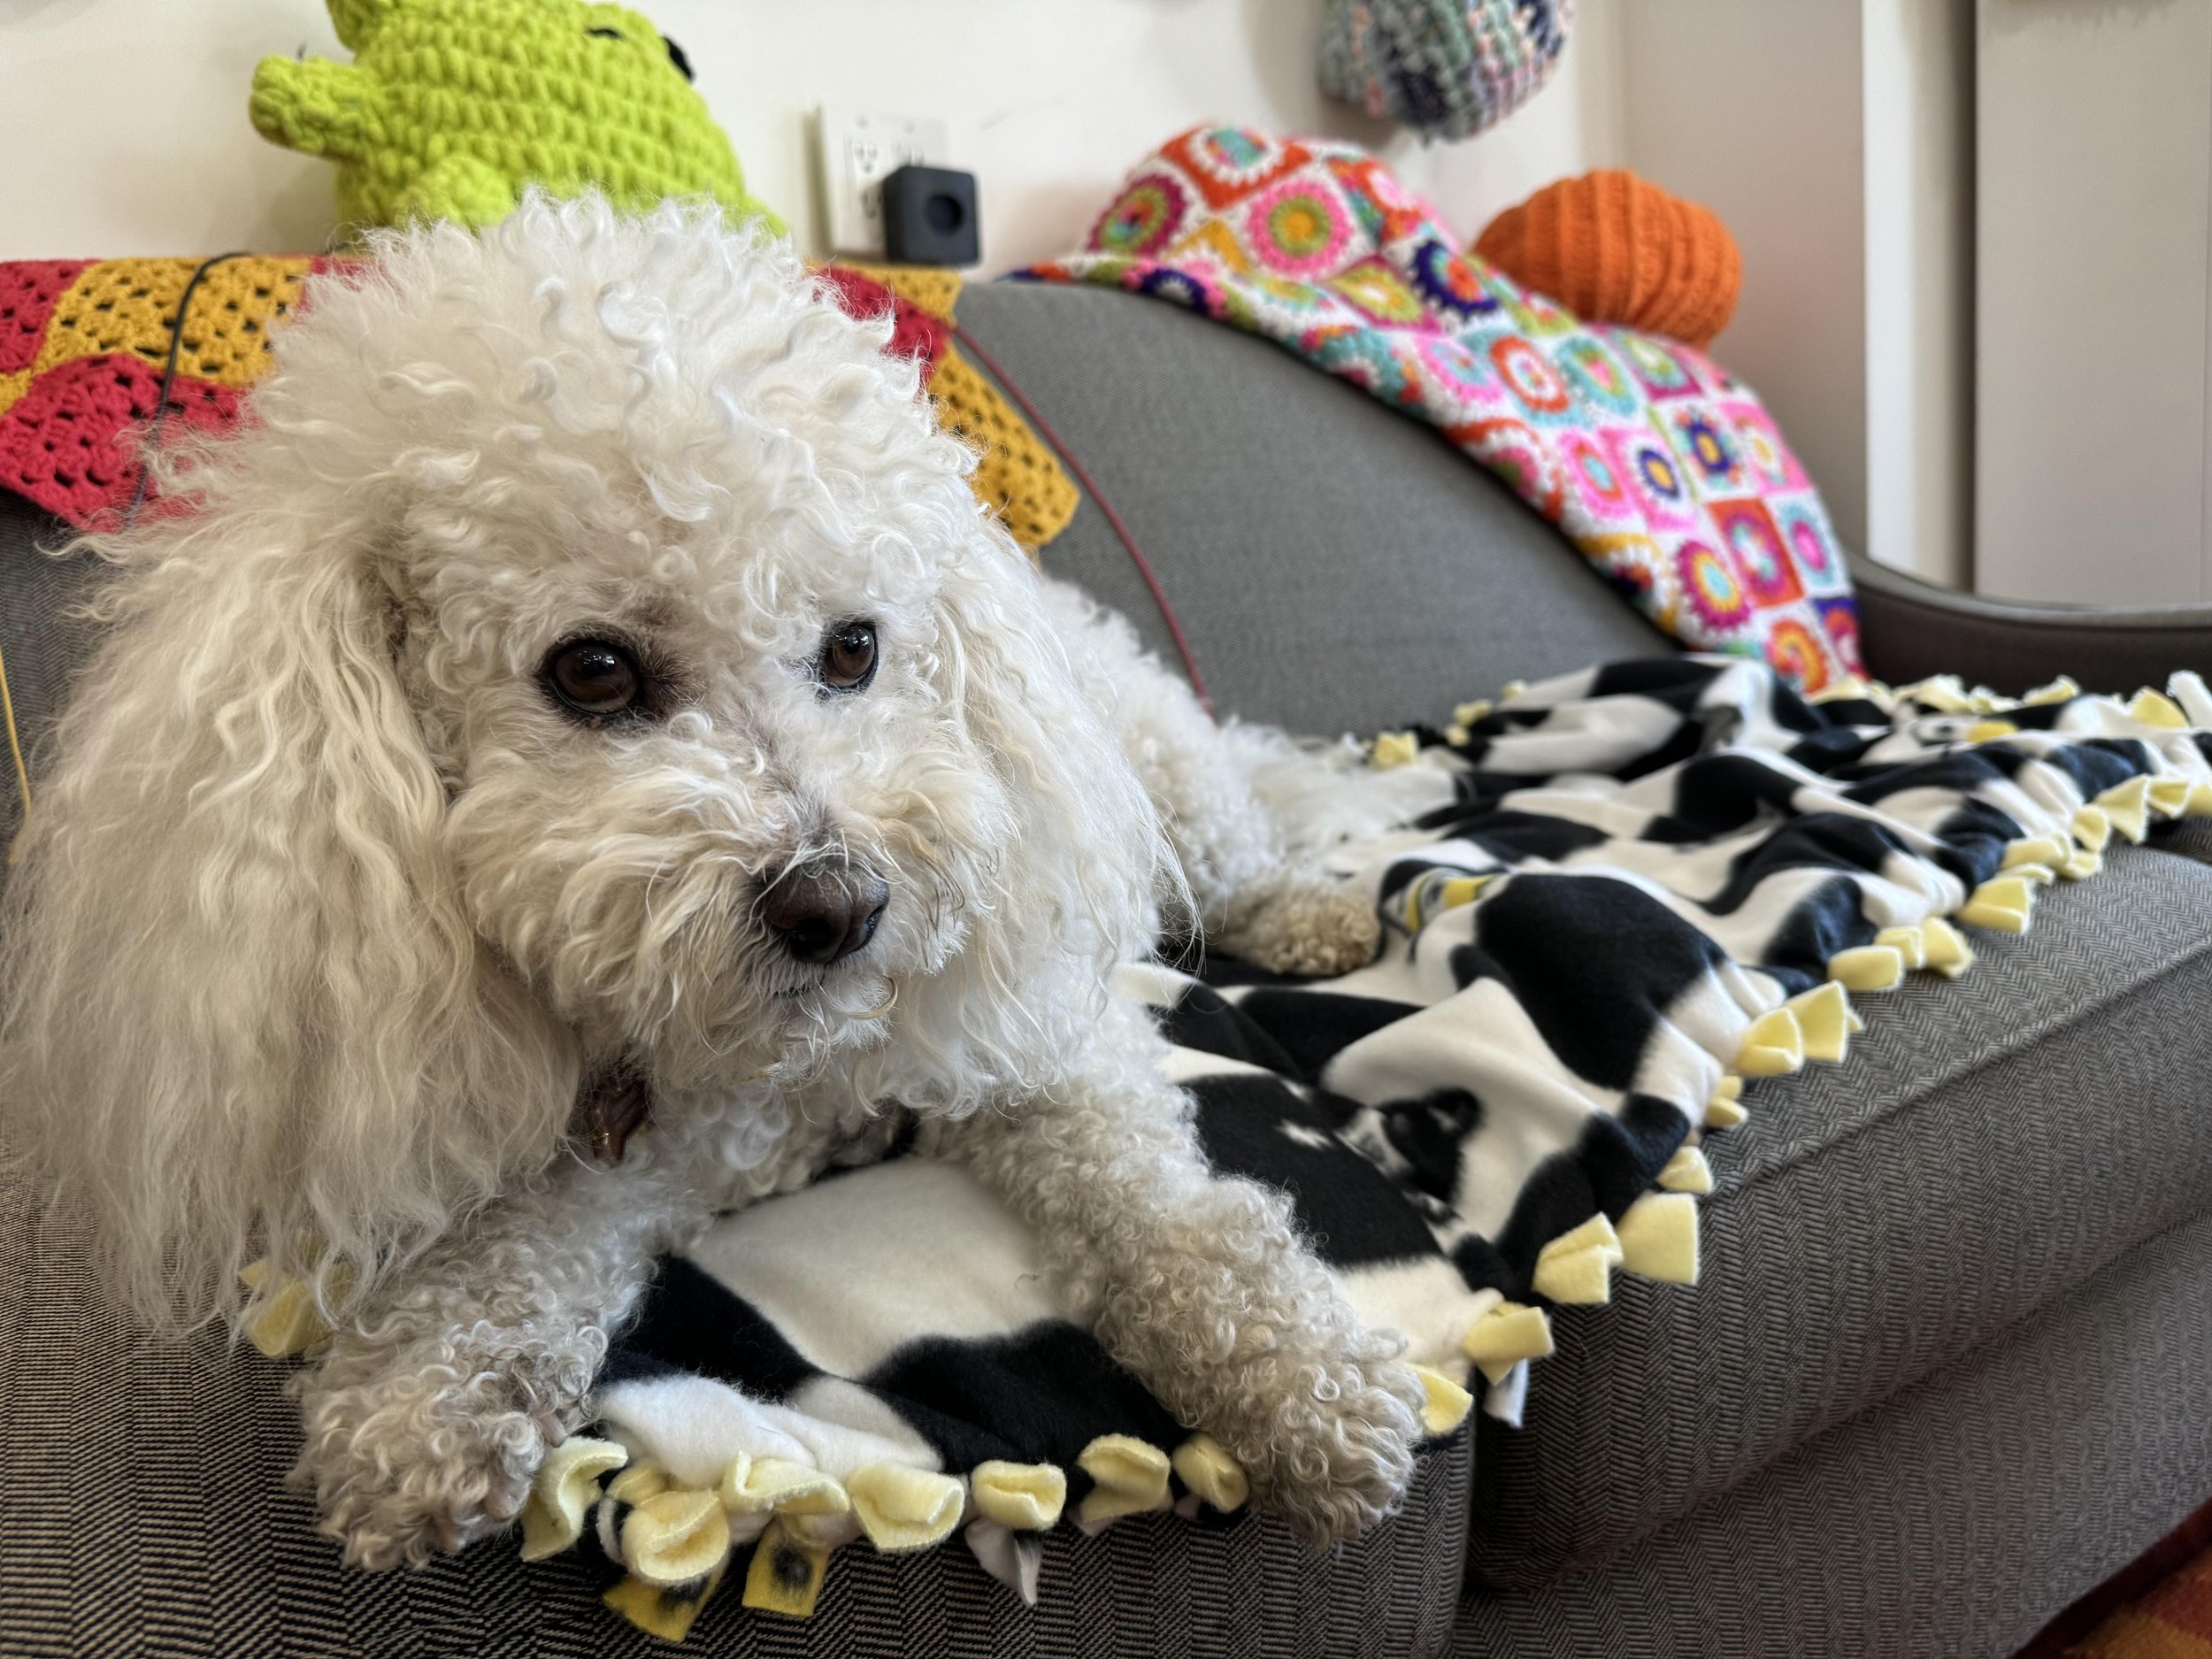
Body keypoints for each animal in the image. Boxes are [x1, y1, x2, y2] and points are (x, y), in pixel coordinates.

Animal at [4, 195, 1433, 1575]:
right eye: (592, 671)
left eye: (854, 648)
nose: (841, 909)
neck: (773, 1073)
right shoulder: (624, 1136)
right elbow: (518, 1238)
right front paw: (420, 1395)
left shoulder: (1039, 1042)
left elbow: (1172, 1212)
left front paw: (1301, 1380)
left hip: (1164, 776)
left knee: (1242, 839)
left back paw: (1306, 910)